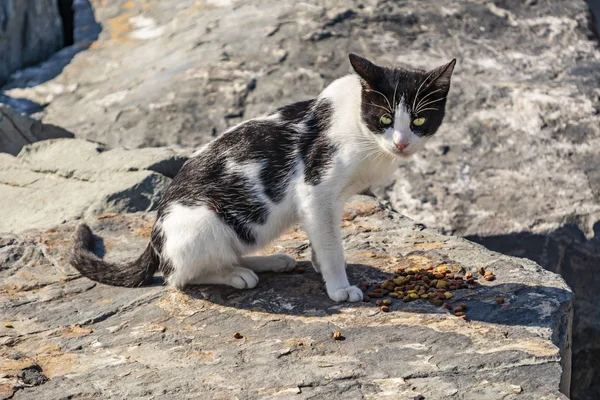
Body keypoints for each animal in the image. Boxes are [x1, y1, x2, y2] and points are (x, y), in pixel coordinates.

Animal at [71, 54, 454, 304]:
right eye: (385, 118)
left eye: (419, 120)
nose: (401, 142)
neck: (362, 131)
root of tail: (155, 234)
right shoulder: (316, 191)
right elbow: (332, 244)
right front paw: (338, 285)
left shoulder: (324, 203)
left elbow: (321, 237)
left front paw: (318, 265)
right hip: (202, 222)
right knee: (176, 276)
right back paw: (236, 275)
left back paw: (271, 261)